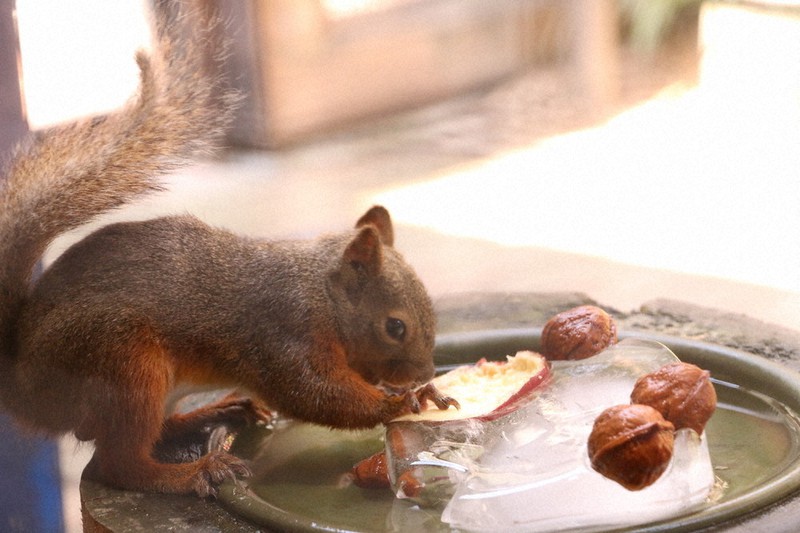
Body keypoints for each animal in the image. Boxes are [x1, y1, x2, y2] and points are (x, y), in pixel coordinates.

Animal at [0, 2, 454, 496]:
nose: (424, 373)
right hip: (124, 366)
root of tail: (23, 384)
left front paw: (418, 392)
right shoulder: (284, 336)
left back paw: (217, 410)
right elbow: (316, 395)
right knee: (119, 464)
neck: (321, 296)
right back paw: (191, 471)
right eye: (395, 326)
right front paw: (399, 402)